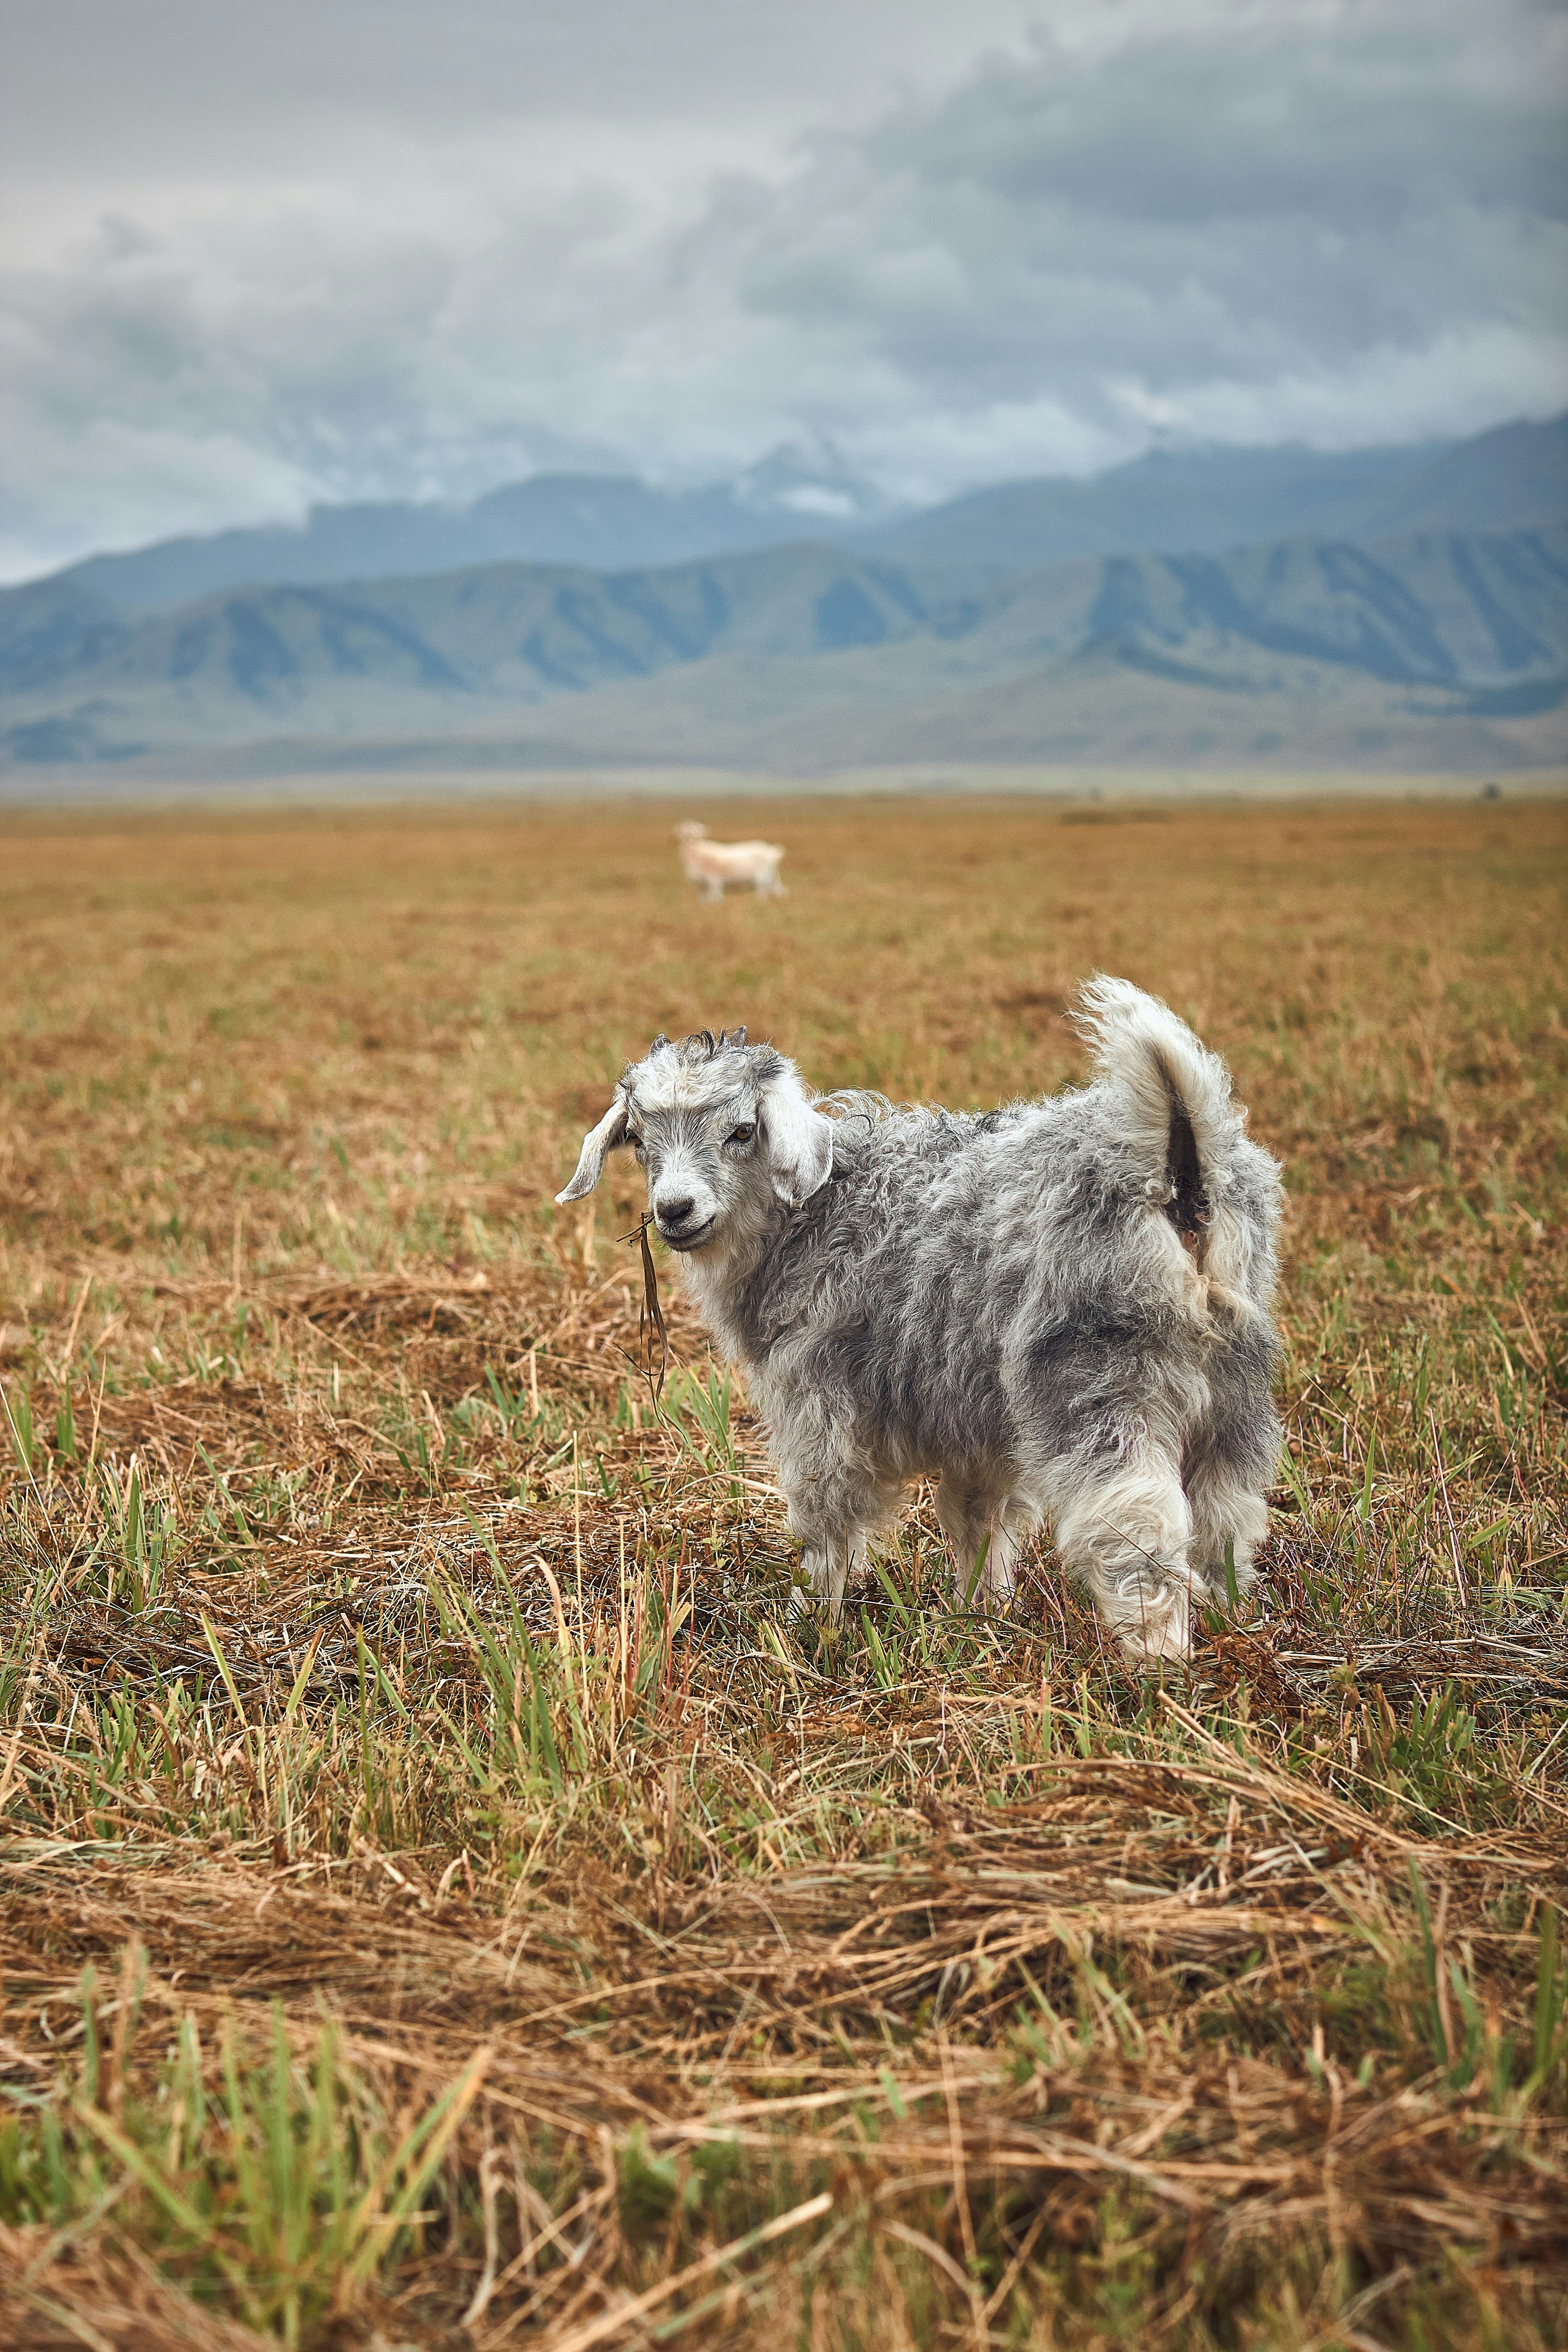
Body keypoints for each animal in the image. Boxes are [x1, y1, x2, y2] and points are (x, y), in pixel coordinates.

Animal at [556, 981, 1282, 1662]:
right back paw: (1230, 1629)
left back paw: (1157, 1665)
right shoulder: (974, 1421)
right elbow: (978, 1519)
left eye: (741, 1131)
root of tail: (1174, 1163)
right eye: (640, 1141)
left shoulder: (818, 1398)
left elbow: (826, 1514)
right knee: (1226, 1513)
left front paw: (810, 1624)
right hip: (1231, 1380)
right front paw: (977, 1617)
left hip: (1097, 1372)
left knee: (1138, 1522)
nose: (675, 1210)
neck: (816, 1212)